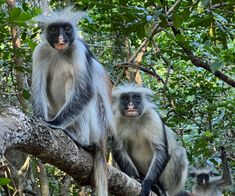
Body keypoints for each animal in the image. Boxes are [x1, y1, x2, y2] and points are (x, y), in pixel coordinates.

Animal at [31, 6, 114, 196]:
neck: (60, 51)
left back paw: (81, 140)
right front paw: (39, 118)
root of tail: (102, 137)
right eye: (54, 29)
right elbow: (38, 87)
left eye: (67, 28)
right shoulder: (40, 51)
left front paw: (53, 124)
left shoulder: (79, 50)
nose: (61, 39)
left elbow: (85, 92)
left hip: (96, 123)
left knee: (75, 85)